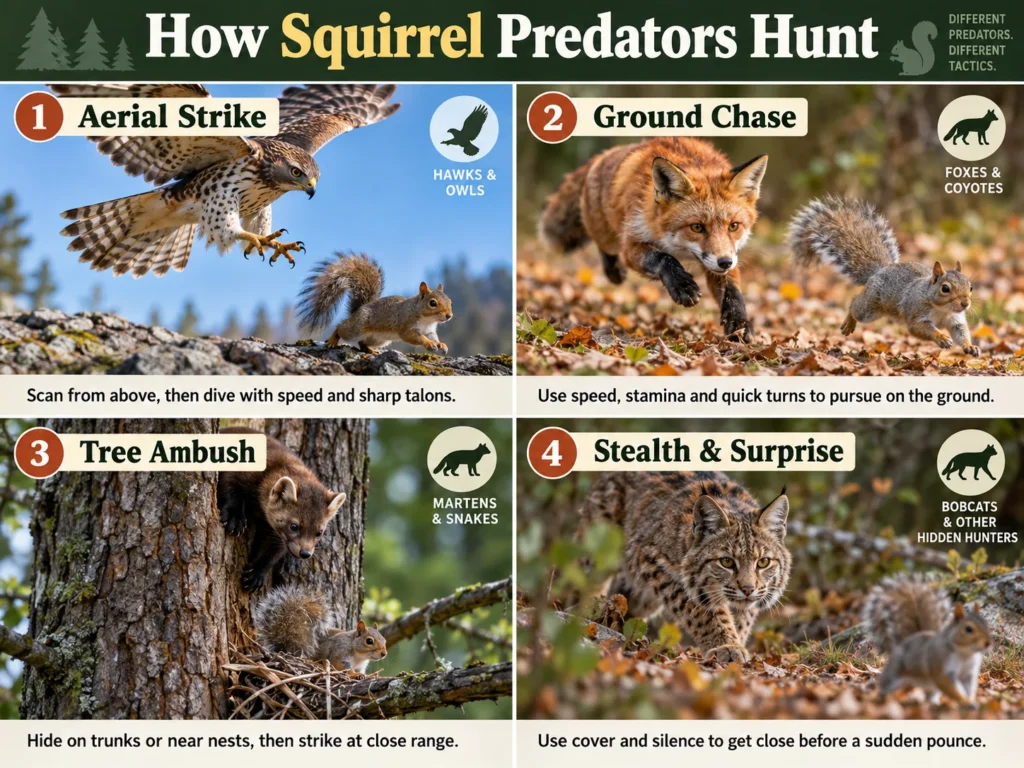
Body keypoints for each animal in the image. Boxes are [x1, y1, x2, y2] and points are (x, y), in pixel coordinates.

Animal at [217, 426, 346, 592]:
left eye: (319, 532)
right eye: (294, 526)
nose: (305, 553)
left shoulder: (273, 534)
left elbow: (272, 552)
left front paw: (255, 575)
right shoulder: (236, 473)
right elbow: (231, 491)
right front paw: (235, 519)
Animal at [253, 584, 387, 673]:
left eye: (385, 641)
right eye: (369, 641)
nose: (384, 654)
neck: (360, 657)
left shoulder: (360, 667)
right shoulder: (339, 653)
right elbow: (341, 667)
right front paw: (354, 675)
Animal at [296, 252, 454, 355]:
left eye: (450, 301)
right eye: (432, 303)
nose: (449, 316)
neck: (427, 319)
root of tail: (358, 311)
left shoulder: (430, 330)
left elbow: (433, 336)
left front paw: (441, 344)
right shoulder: (406, 324)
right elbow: (415, 337)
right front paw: (429, 343)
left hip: (379, 340)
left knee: (362, 343)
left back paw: (370, 350)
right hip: (357, 328)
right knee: (342, 328)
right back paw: (333, 339)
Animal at [789, 196, 979, 356]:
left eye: (970, 287)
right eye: (945, 288)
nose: (965, 303)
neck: (942, 309)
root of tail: (880, 271)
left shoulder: (956, 320)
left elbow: (961, 333)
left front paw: (970, 346)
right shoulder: (916, 312)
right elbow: (920, 328)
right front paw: (942, 338)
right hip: (869, 308)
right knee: (854, 305)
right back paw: (849, 323)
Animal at [863, 574, 992, 704]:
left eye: (986, 624)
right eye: (968, 629)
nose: (988, 643)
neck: (966, 654)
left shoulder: (969, 674)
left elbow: (968, 689)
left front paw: (971, 701)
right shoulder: (941, 669)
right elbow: (950, 687)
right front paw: (964, 701)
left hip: (930, 686)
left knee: (930, 696)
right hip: (894, 673)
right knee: (885, 686)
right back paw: (880, 698)